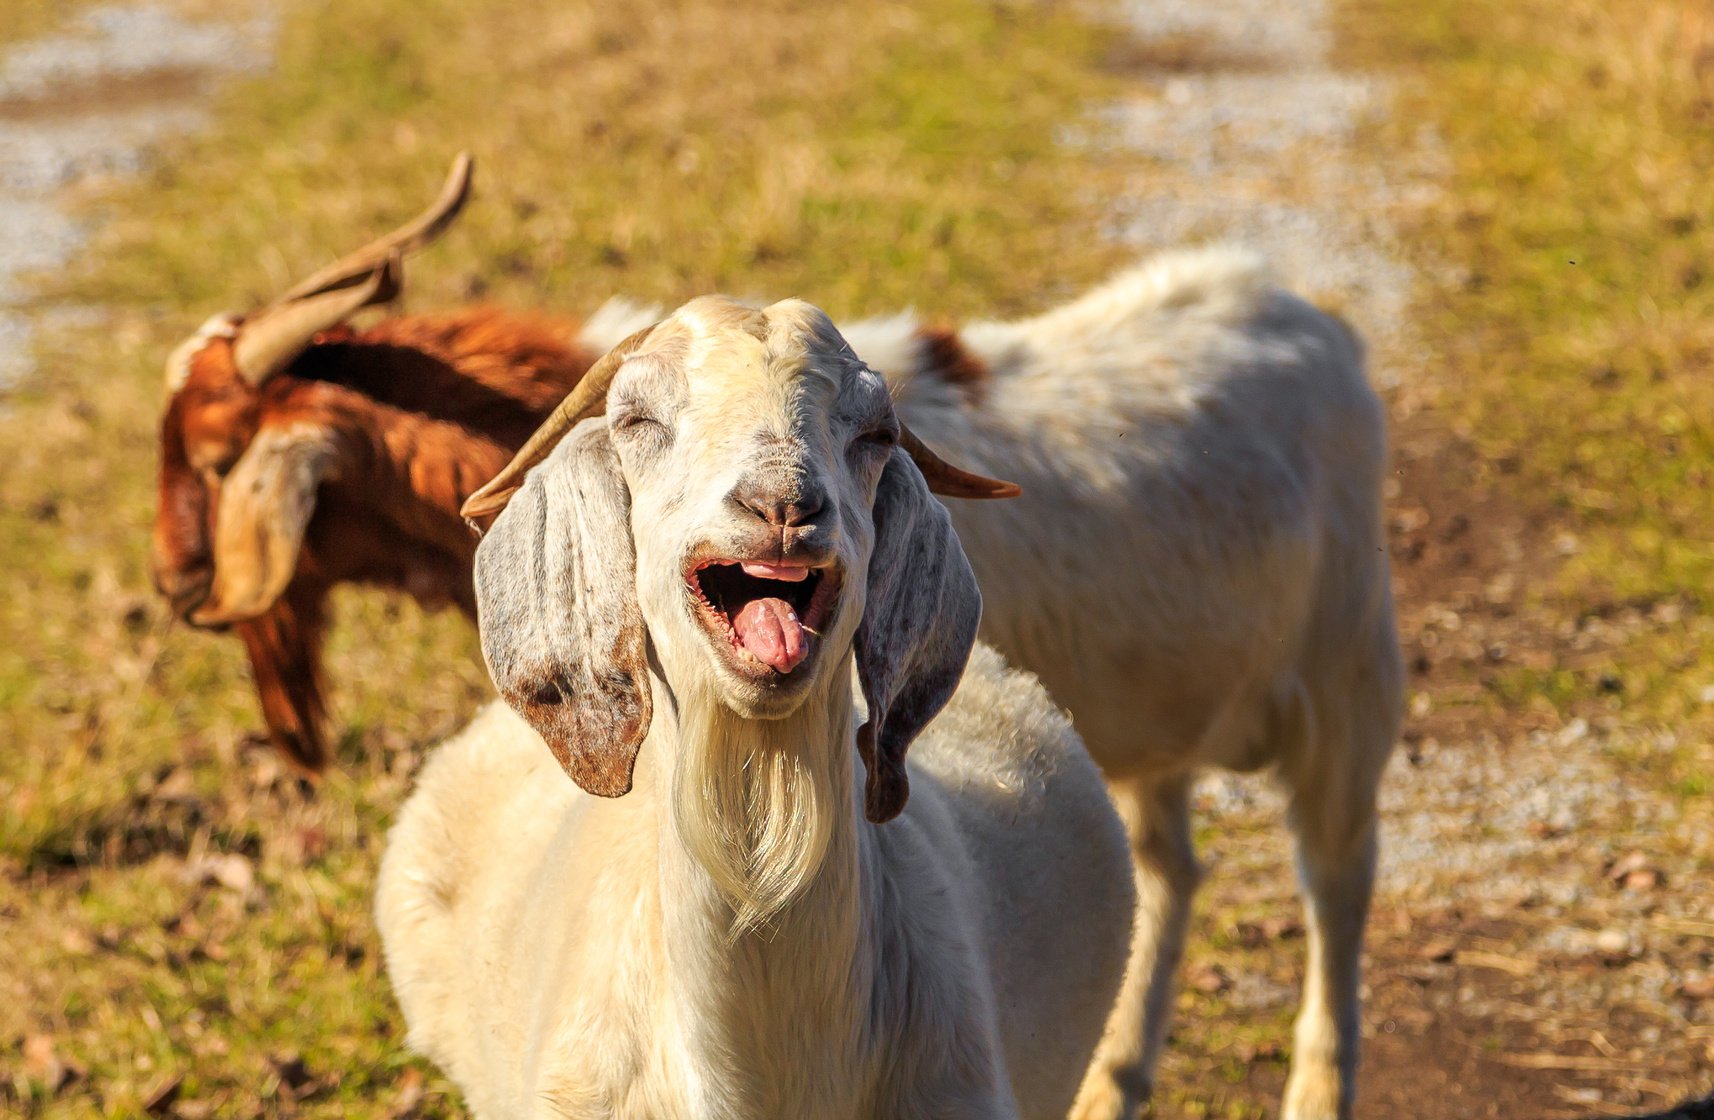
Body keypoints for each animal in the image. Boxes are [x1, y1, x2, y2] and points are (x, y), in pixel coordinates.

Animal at [589, 246, 1405, 1118]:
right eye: (636, 421)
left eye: (870, 433)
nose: (780, 508)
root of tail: (1306, 312)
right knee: (1169, 867)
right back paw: (1115, 1078)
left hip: (1348, 669)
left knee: (1338, 873)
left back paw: (1320, 1084)